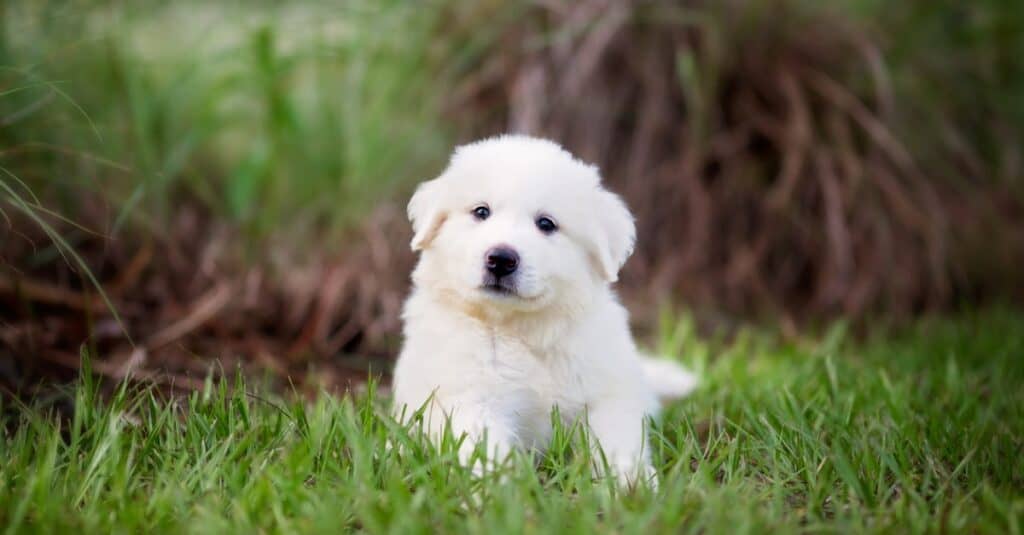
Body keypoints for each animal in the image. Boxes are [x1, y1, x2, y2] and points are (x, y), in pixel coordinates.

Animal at [391, 133, 696, 483]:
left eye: (546, 224)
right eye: (481, 212)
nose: (501, 259)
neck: (523, 330)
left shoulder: (606, 394)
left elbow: (616, 443)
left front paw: (630, 485)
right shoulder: (471, 397)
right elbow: (487, 450)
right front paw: (500, 490)